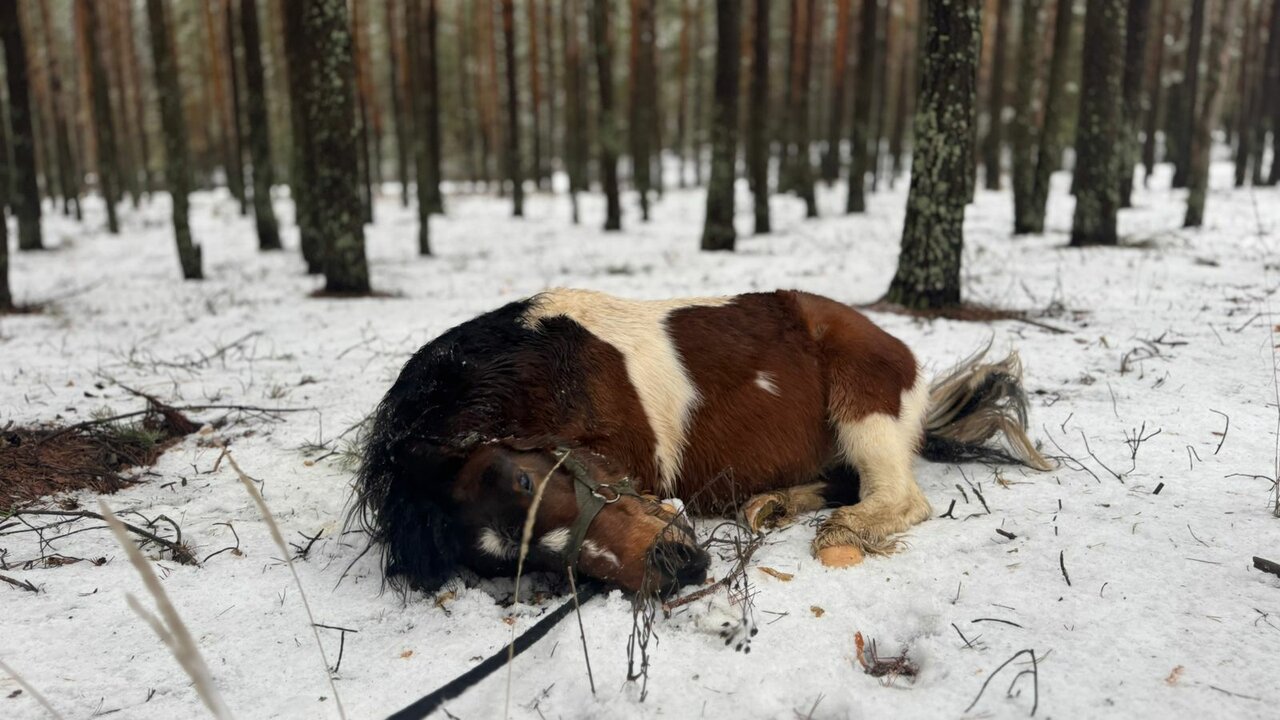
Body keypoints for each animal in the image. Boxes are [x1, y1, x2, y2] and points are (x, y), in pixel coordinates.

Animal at [352, 288, 1049, 597]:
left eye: (525, 477)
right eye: (516, 568)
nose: (676, 568)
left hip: (863, 404)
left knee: (899, 496)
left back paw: (844, 527)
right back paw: (773, 504)